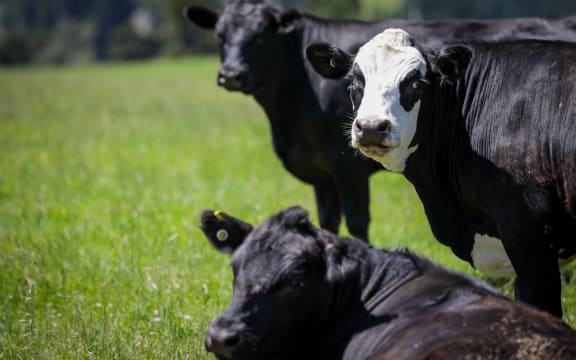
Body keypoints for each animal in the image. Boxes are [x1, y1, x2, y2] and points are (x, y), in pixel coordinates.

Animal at [183, 0, 576, 242]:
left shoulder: (347, 167)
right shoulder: (323, 176)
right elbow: (328, 221)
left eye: (262, 36)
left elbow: (357, 222)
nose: (231, 74)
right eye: (220, 35)